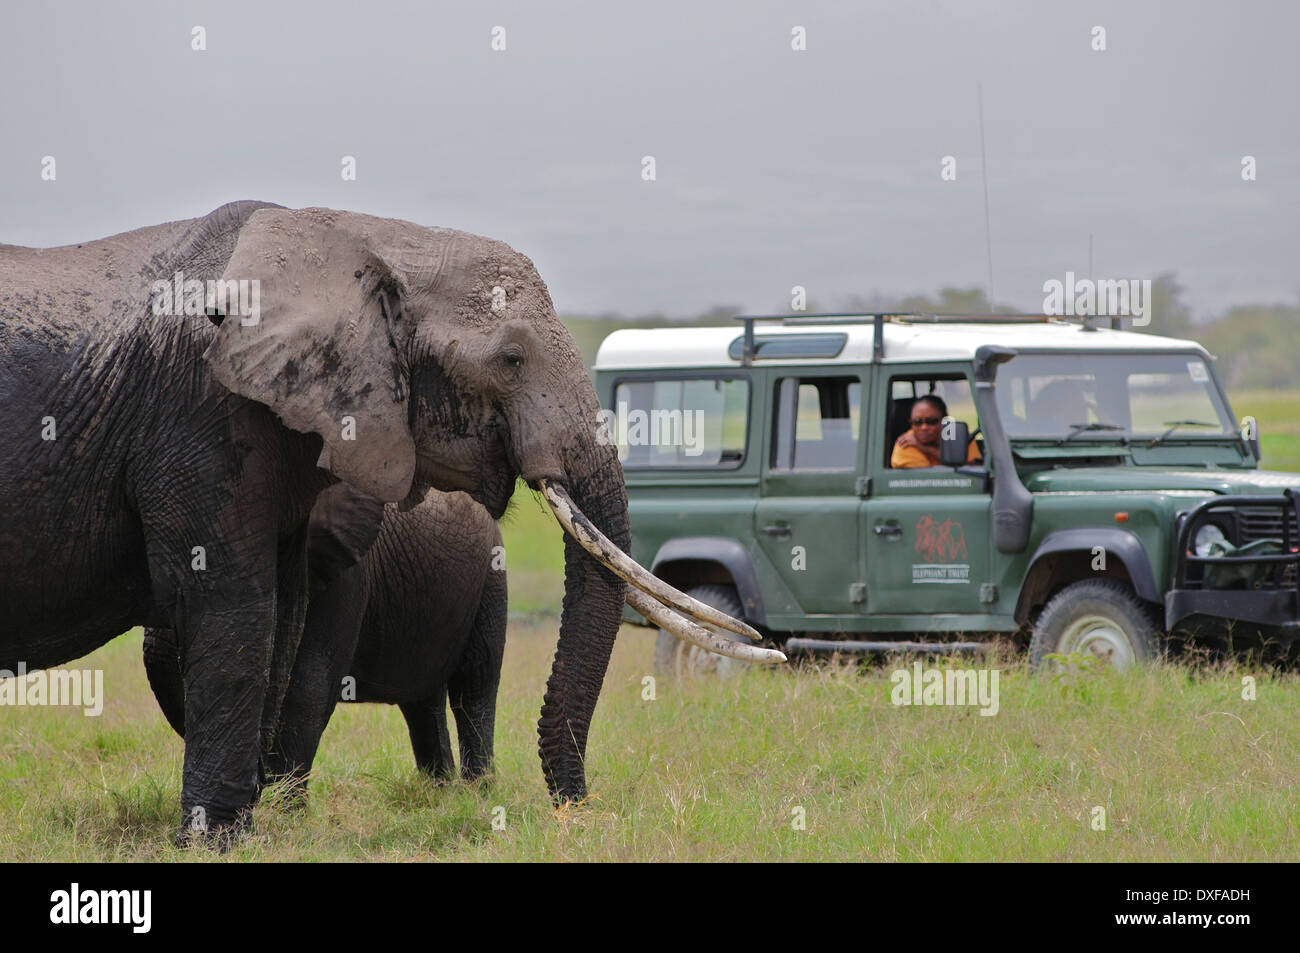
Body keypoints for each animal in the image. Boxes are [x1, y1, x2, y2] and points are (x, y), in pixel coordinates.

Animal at [143, 486, 506, 785]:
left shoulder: (346, 570)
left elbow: (310, 686)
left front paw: (285, 812)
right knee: (422, 701)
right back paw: (440, 791)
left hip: (491, 576)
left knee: (474, 684)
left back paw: (476, 792)